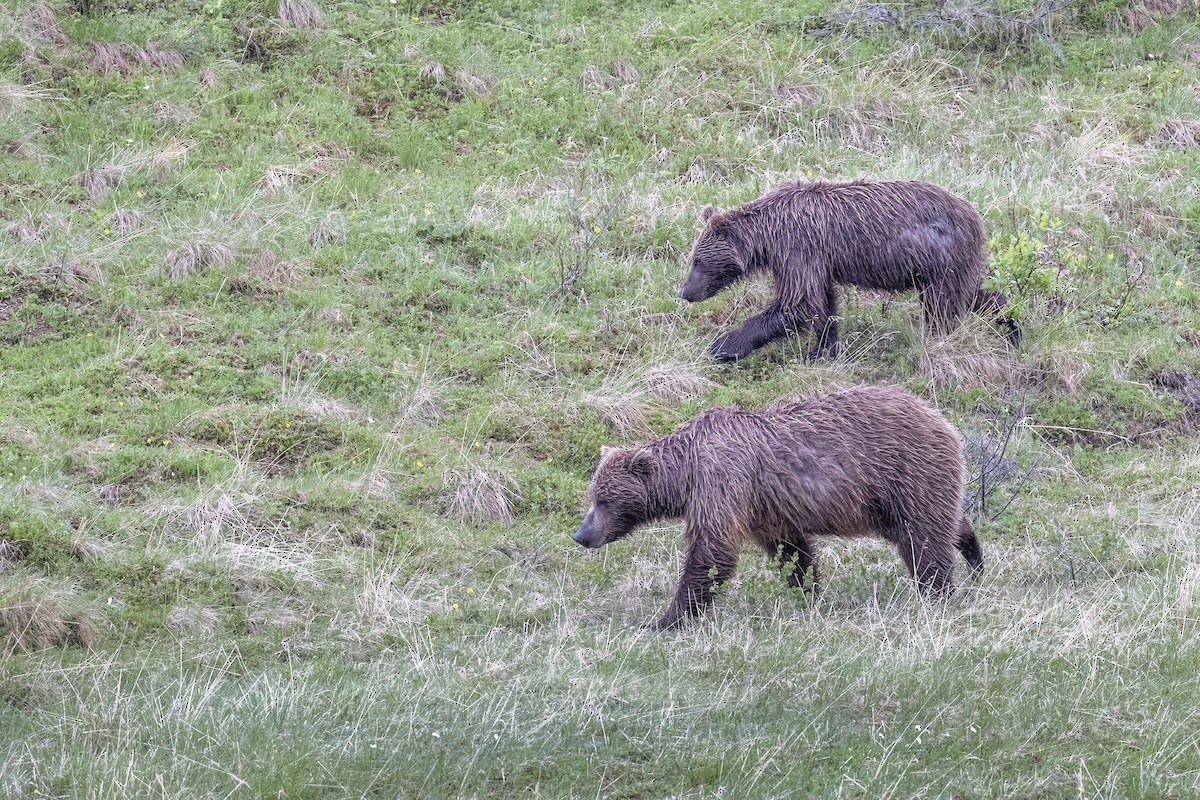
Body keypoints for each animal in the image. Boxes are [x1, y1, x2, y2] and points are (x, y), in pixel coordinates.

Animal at [572, 384, 983, 630]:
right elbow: (791, 549)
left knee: (923, 536)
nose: (581, 535)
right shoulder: (763, 509)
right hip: (886, 495)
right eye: (593, 496)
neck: (686, 473)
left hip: (902, 468)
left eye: (605, 500)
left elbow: (712, 552)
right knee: (934, 523)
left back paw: (938, 592)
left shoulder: (723, 481)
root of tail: (939, 416)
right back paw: (972, 553)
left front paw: (664, 620)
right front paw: (808, 592)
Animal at [677, 178, 1016, 361]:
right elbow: (822, 303)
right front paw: (823, 350)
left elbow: (797, 303)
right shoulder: (818, 261)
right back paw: (1011, 324)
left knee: (942, 305)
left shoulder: (799, 249)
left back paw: (938, 340)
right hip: (949, 265)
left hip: (940, 259)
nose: (684, 291)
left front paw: (724, 345)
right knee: (972, 294)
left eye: (697, 261)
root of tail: (975, 215)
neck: (768, 235)